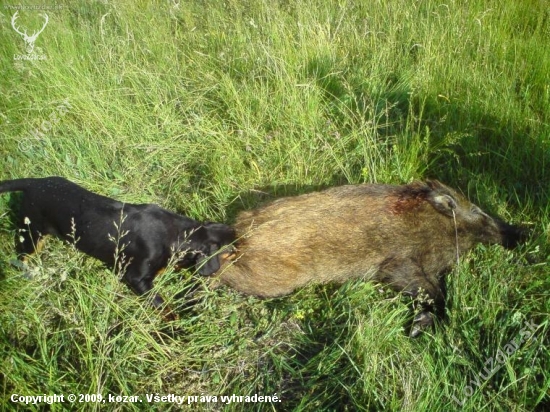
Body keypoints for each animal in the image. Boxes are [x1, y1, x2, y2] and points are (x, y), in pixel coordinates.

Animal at [0, 175, 235, 314]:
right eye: (234, 248)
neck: (177, 233)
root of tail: (33, 182)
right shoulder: (136, 278)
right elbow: (164, 306)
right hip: (32, 234)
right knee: (21, 257)